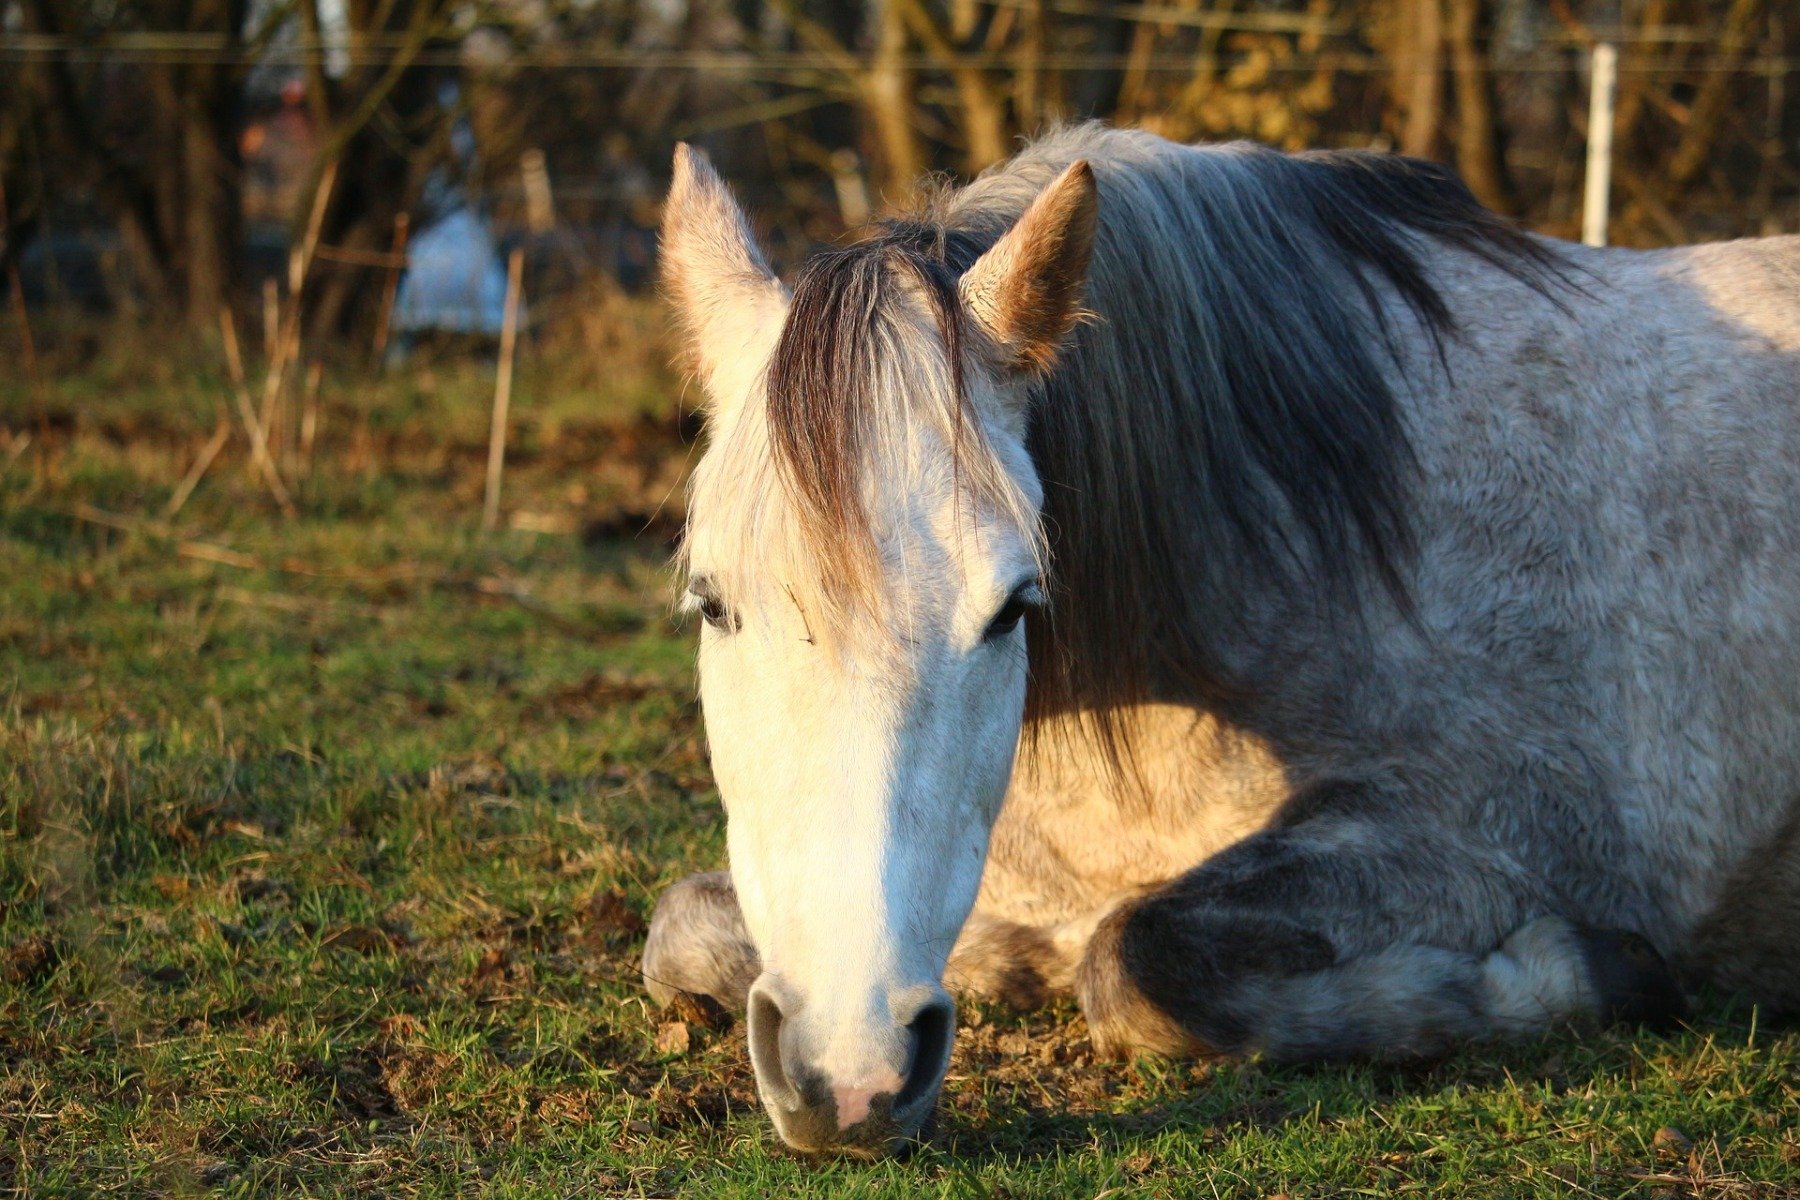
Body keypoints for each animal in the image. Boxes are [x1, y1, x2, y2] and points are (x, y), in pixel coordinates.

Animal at [640, 119, 1800, 1151]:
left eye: (1013, 605)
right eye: (712, 601)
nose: (851, 1078)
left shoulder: (1497, 840)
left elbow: (1137, 956)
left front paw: (1573, 976)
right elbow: (681, 927)